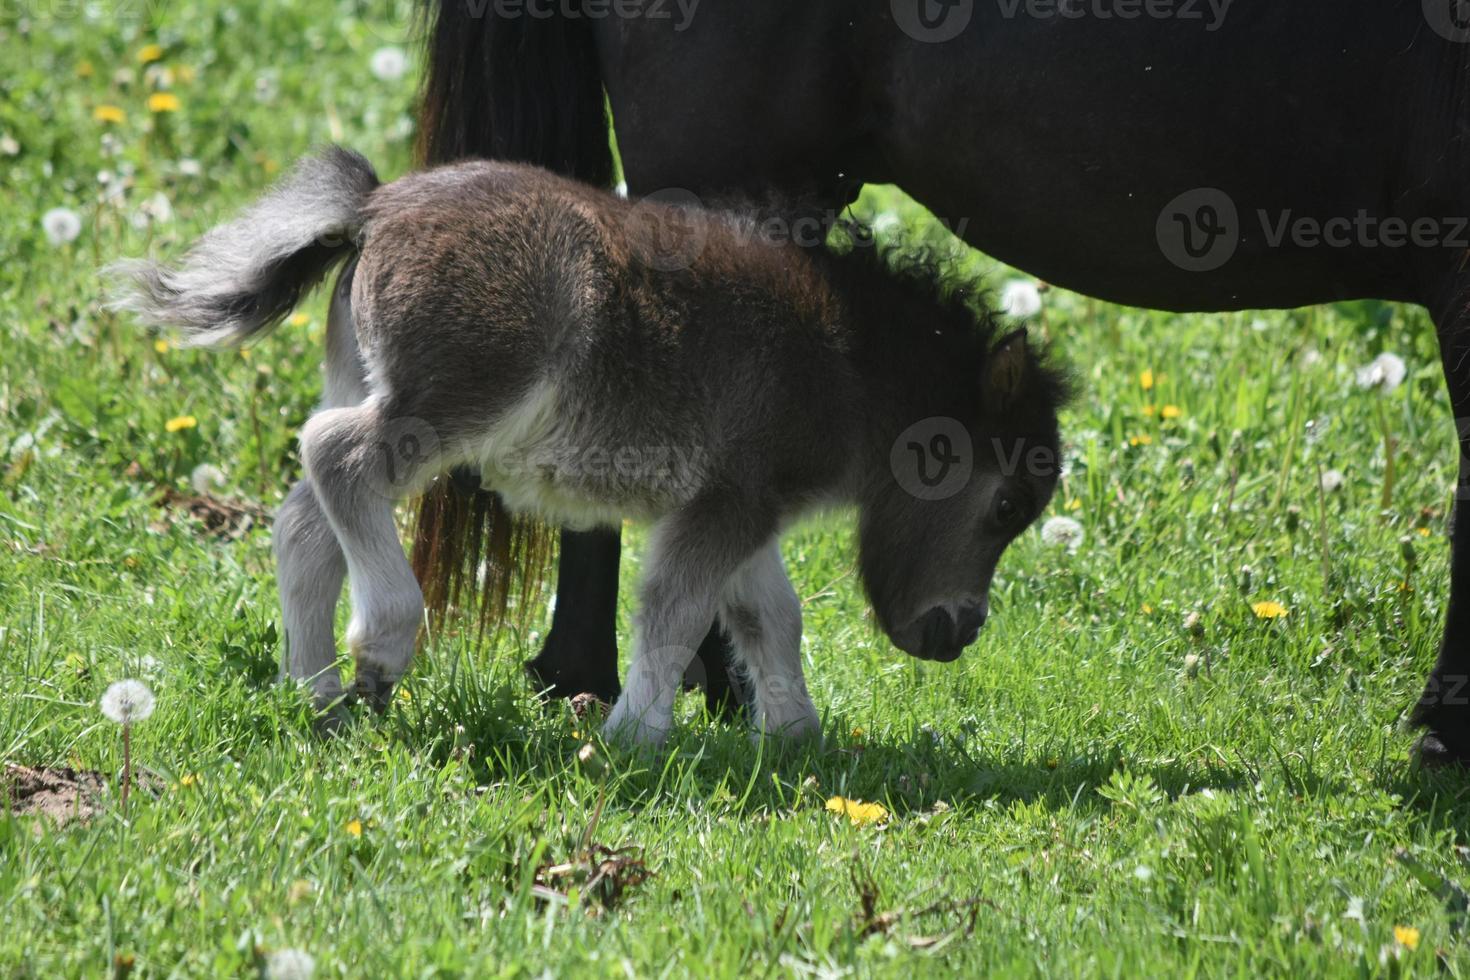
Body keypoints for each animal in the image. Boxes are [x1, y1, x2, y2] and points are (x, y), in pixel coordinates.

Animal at [111, 147, 1058, 743]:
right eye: (1006, 502)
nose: (958, 632)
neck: (854, 363)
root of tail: (377, 206)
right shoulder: (730, 504)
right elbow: (676, 608)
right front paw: (634, 737)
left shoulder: (742, 505)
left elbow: (768, 617)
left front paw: (798, 738)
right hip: (458, 397)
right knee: (337, 456)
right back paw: (381, 648)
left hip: (368, 377)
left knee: (307, 522)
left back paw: (317, 700)